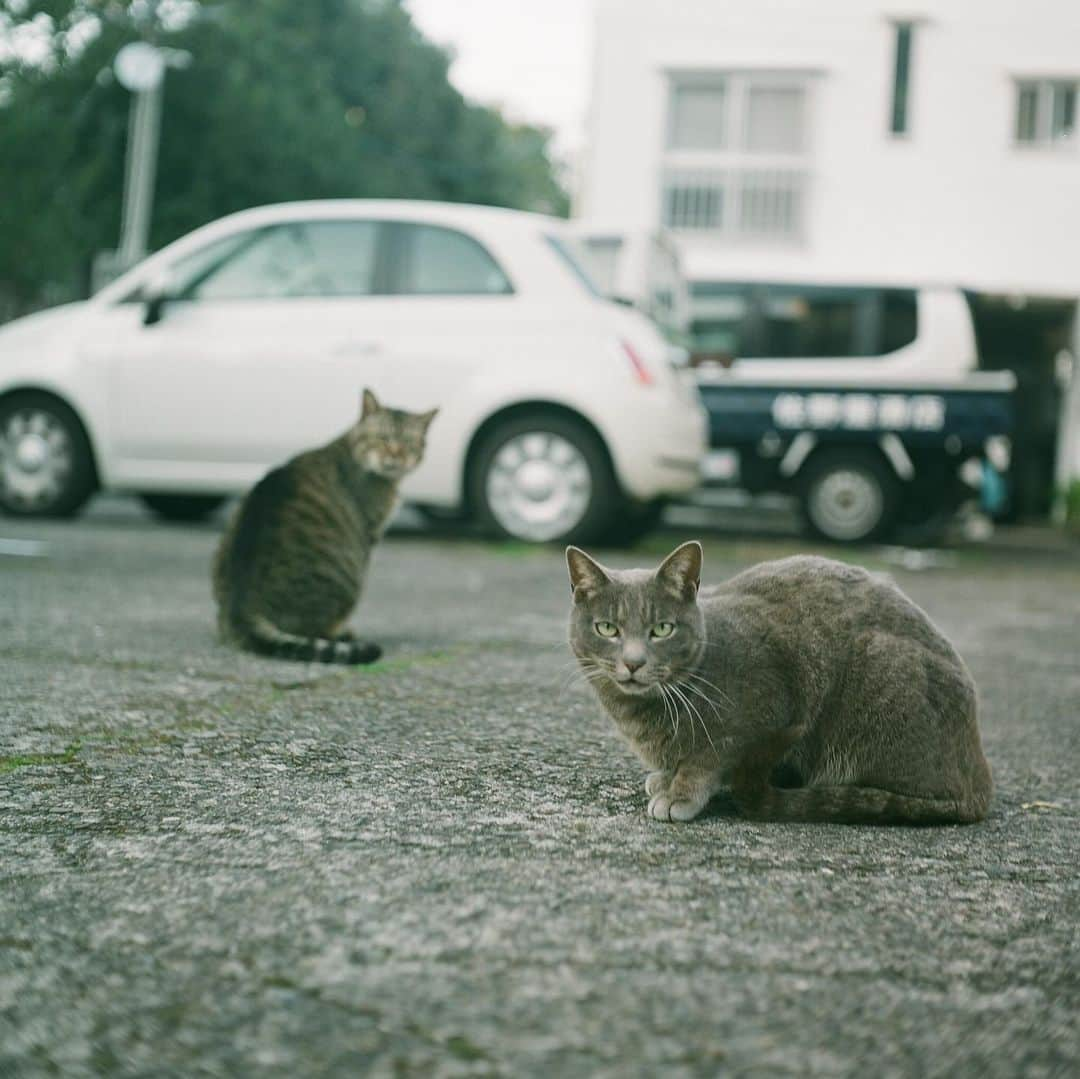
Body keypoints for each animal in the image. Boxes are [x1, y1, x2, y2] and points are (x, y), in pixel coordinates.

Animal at [212, 384, 436, 661]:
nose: (396, 456)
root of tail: (244, 605)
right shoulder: (369, 535)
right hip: (348, 577)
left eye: (409, 443)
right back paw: (342, 631)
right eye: (383, 438)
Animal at [565, 544, 993, 820]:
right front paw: (666, 778)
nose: (633, 662)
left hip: (878, 675)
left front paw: (680, 792)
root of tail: (979, 777)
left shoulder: (767, 708)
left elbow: (709, 756)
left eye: (662, 629)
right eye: (608, 628)